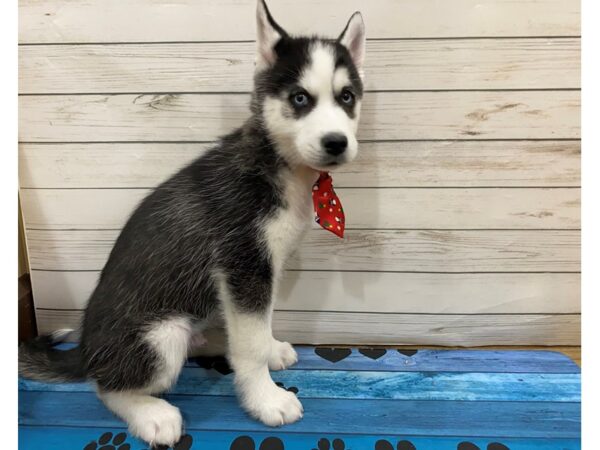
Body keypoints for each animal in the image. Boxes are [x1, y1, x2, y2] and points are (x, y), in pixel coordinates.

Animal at [18, 0, 366, 446]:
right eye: (300, 98)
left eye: (347, 97)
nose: (336, 142)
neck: (278, 164)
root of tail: (86, 350)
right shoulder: (243, 265)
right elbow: (249, 345)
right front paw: (266, 399)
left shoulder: (260, 274)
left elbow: (258, 327)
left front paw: (270, 348)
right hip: (160, 336)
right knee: (106, 386)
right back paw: (151, 413)